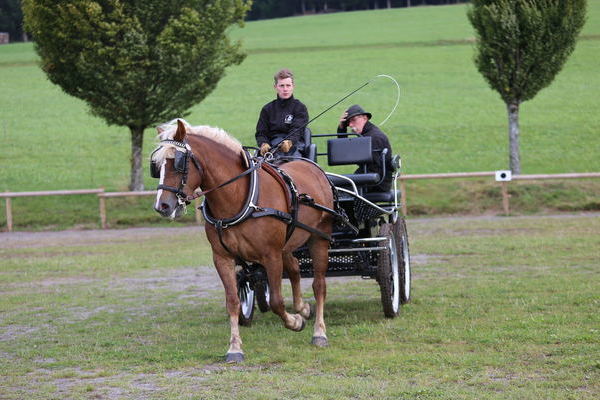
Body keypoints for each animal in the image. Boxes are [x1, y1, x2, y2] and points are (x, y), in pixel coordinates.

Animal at [152, 119, 336, 362]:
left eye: (178, 163)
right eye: (156, 165)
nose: (162, 206)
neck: (240, 198)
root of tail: (314, 168)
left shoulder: (271, 255)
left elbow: (276, 301)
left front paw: (295, 322)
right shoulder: (222, 257)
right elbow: (232, 301)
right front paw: (234, 348)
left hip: (319, 238)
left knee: (319, 285)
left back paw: (319, 333)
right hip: (287, 243)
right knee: (295, 268)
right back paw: (302, 307)